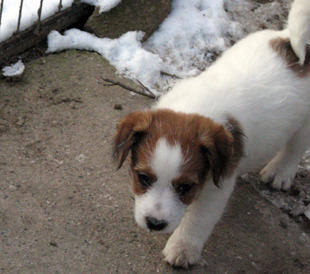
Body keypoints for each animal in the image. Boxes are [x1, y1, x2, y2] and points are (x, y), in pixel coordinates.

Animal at [112, 0, 310, 268]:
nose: (155, 223)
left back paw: (279, 172)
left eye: (185, 187)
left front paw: (182, 247)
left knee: (295, 148)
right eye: (143, 178)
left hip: (305, 124)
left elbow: (198, 220)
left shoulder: (218, 187)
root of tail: (291, 44)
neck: (195, 107)